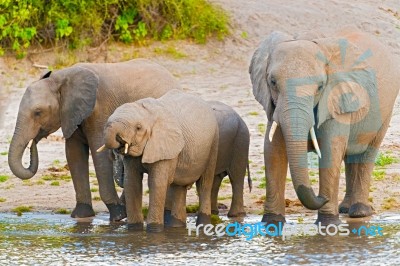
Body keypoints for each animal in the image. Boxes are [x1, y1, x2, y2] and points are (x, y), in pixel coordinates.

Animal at [8, 58, 180, 220]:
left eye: (38, 112)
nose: (35, 140)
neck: (60, 78)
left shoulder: (99, 110)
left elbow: (99, 155)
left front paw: (118, 216)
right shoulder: (71, 115)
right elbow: (74, 154)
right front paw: (81, 215)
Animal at [99, 90, 219, 232]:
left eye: (138, 127)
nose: (119, 143)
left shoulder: (165, 146)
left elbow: (157, 183)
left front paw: (154, 231)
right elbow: (132, 183)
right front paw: (134, 230)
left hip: (214, 143)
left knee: (204, 184)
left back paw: (204, 227)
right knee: (179, 188)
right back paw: (176, 227)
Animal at [250, 28, 400, 224]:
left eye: (320, 87)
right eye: (273, 82)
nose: (322, 198)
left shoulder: (335, 99)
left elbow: (331, 150)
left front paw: (328, 223)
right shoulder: (273, 107)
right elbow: (273, 152)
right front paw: (271, 223)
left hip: (384, 110)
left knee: (365, 153)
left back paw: (359, 212)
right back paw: (345, 209)